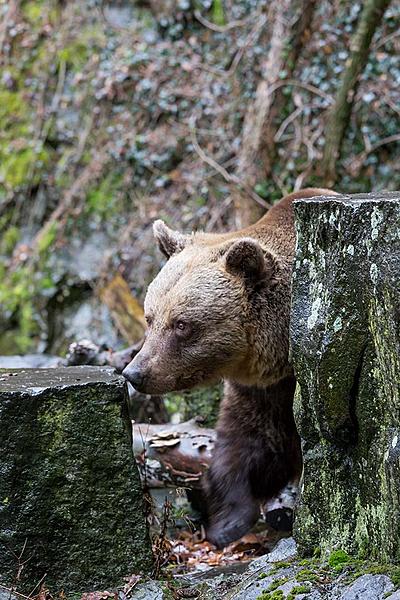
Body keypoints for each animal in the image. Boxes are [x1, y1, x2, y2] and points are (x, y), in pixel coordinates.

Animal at [123, 188, 336, 548]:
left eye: (182, 324)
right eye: (150, 317)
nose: (135, 373)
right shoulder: (261, 388)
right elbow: (250, 442)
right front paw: (226, 519)